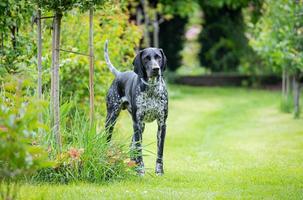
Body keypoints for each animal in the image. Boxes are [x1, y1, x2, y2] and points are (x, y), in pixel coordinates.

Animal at [104, 40, 169, 175]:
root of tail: (119, 74)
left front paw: (159, 171)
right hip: (112, 118)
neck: (151, 89)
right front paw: (140, 171)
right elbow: (139, 148)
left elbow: (160, 150)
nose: (156, 69)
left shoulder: (162, 124)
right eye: (146, 58)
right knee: (108, 139)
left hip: (141, 125)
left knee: (131, 145)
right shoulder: (137, 123)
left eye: (158, 57)